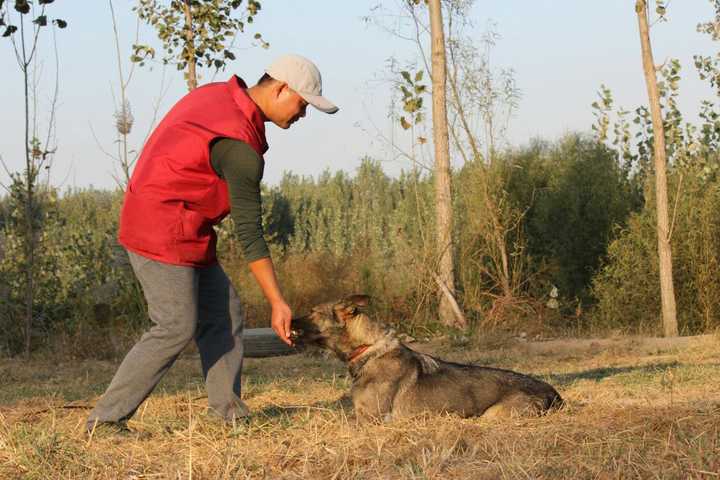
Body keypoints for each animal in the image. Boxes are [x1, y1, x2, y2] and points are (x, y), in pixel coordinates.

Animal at [292, 294, 564, 422]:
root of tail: (554, 394)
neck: (368, 349)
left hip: (493, 414)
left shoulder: (370, 418)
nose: (290, 320)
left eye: (312, 312)